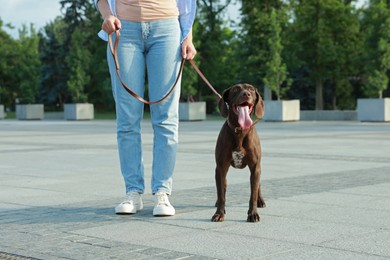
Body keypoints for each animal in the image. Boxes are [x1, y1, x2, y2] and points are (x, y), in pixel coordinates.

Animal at [213, 84, 266, 222]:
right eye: (236, 89)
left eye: (251, 89)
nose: (246, 94)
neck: (239, 130)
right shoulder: (220, 168)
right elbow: (221, 194)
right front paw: (219, 213)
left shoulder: (255, 167)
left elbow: (253, 194)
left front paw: (253, 214)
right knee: (223, 188)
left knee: (258, 186)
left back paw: (261, 200)